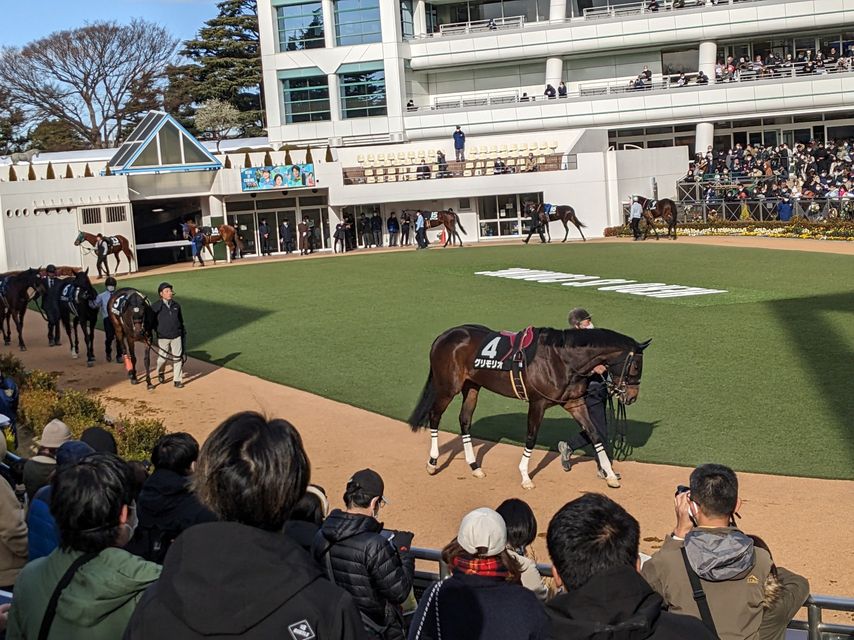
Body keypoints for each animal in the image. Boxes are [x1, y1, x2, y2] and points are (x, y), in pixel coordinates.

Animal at [408, 325, 650, 490]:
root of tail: (444, 335)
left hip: (472, 386)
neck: (561, 359)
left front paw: (610, 475)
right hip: (448, 387)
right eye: (636, 366)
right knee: (435, 416)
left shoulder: (575, 403)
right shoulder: (537, 403)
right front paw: (525, 476)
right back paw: (432, 462)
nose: (631, 397)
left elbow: (595, 434)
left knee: (464, 420)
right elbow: (531, 438)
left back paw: (475, 466)